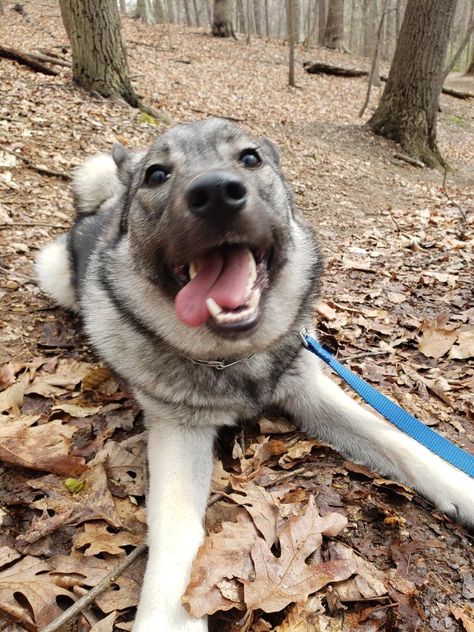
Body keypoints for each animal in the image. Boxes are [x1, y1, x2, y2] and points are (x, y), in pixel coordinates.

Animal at [37, 119, 474, 632]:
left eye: (249, 158)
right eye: (157, 174)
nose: (215, 194)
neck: (234, 358)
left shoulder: (309, 387)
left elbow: (400, 442)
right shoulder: (178, 431)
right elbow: (177, 528)